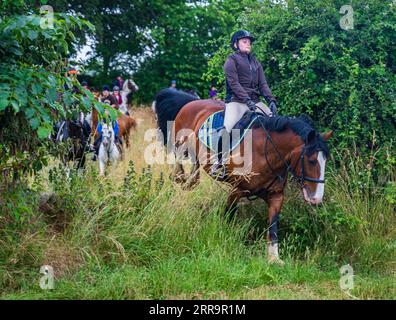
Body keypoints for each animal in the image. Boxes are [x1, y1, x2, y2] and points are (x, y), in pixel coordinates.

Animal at [153, 88, 332, 264]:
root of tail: (191, 102)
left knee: (192, 180)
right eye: (311, 160)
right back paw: (178, 181)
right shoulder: (237, 190)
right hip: (181, 147)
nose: (316, 199)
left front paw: (274, 258)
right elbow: (228, 214)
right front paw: (223, 238)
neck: (266, 151)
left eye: (326, 160)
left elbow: (273, 225)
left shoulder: (276, 195)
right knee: (177, 169)